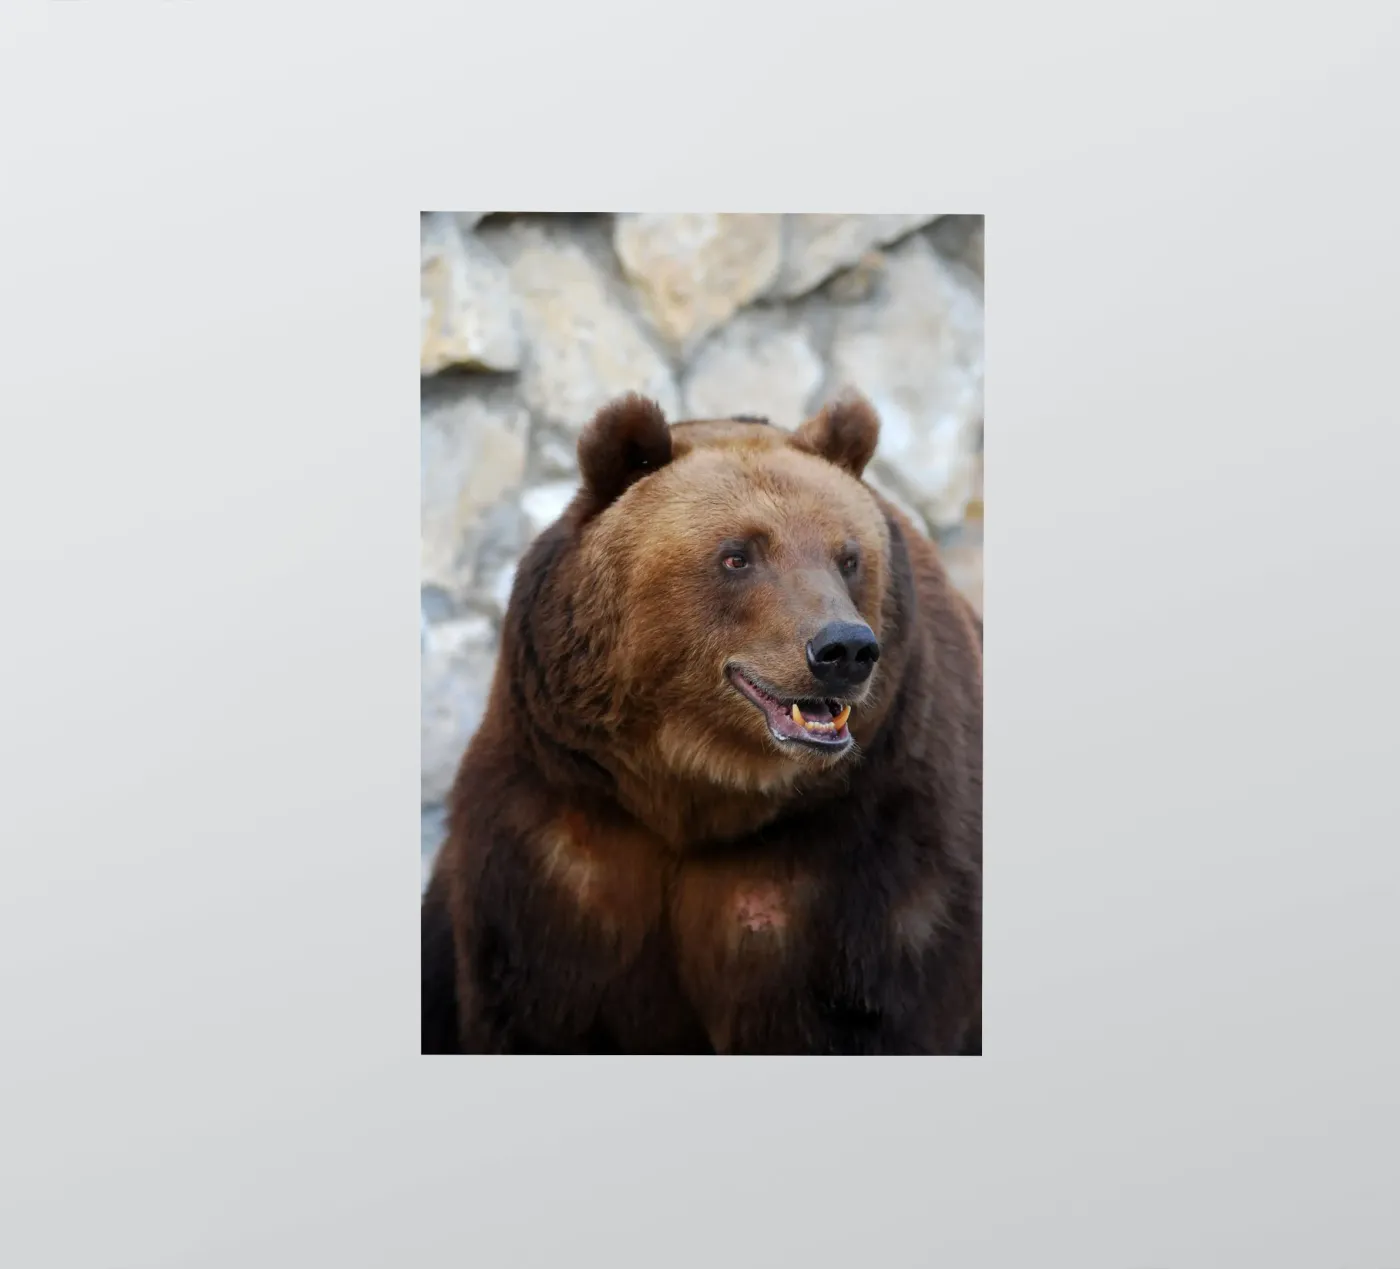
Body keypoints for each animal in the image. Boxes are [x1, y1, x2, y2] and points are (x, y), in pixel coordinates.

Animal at [421, 390, 982, 1055]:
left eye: (848, 557)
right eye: (738, 555)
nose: (844, 648)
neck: (695, 790)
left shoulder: (863, 853)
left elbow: (864, 1010)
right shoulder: (563, 836)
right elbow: (538, 1006)